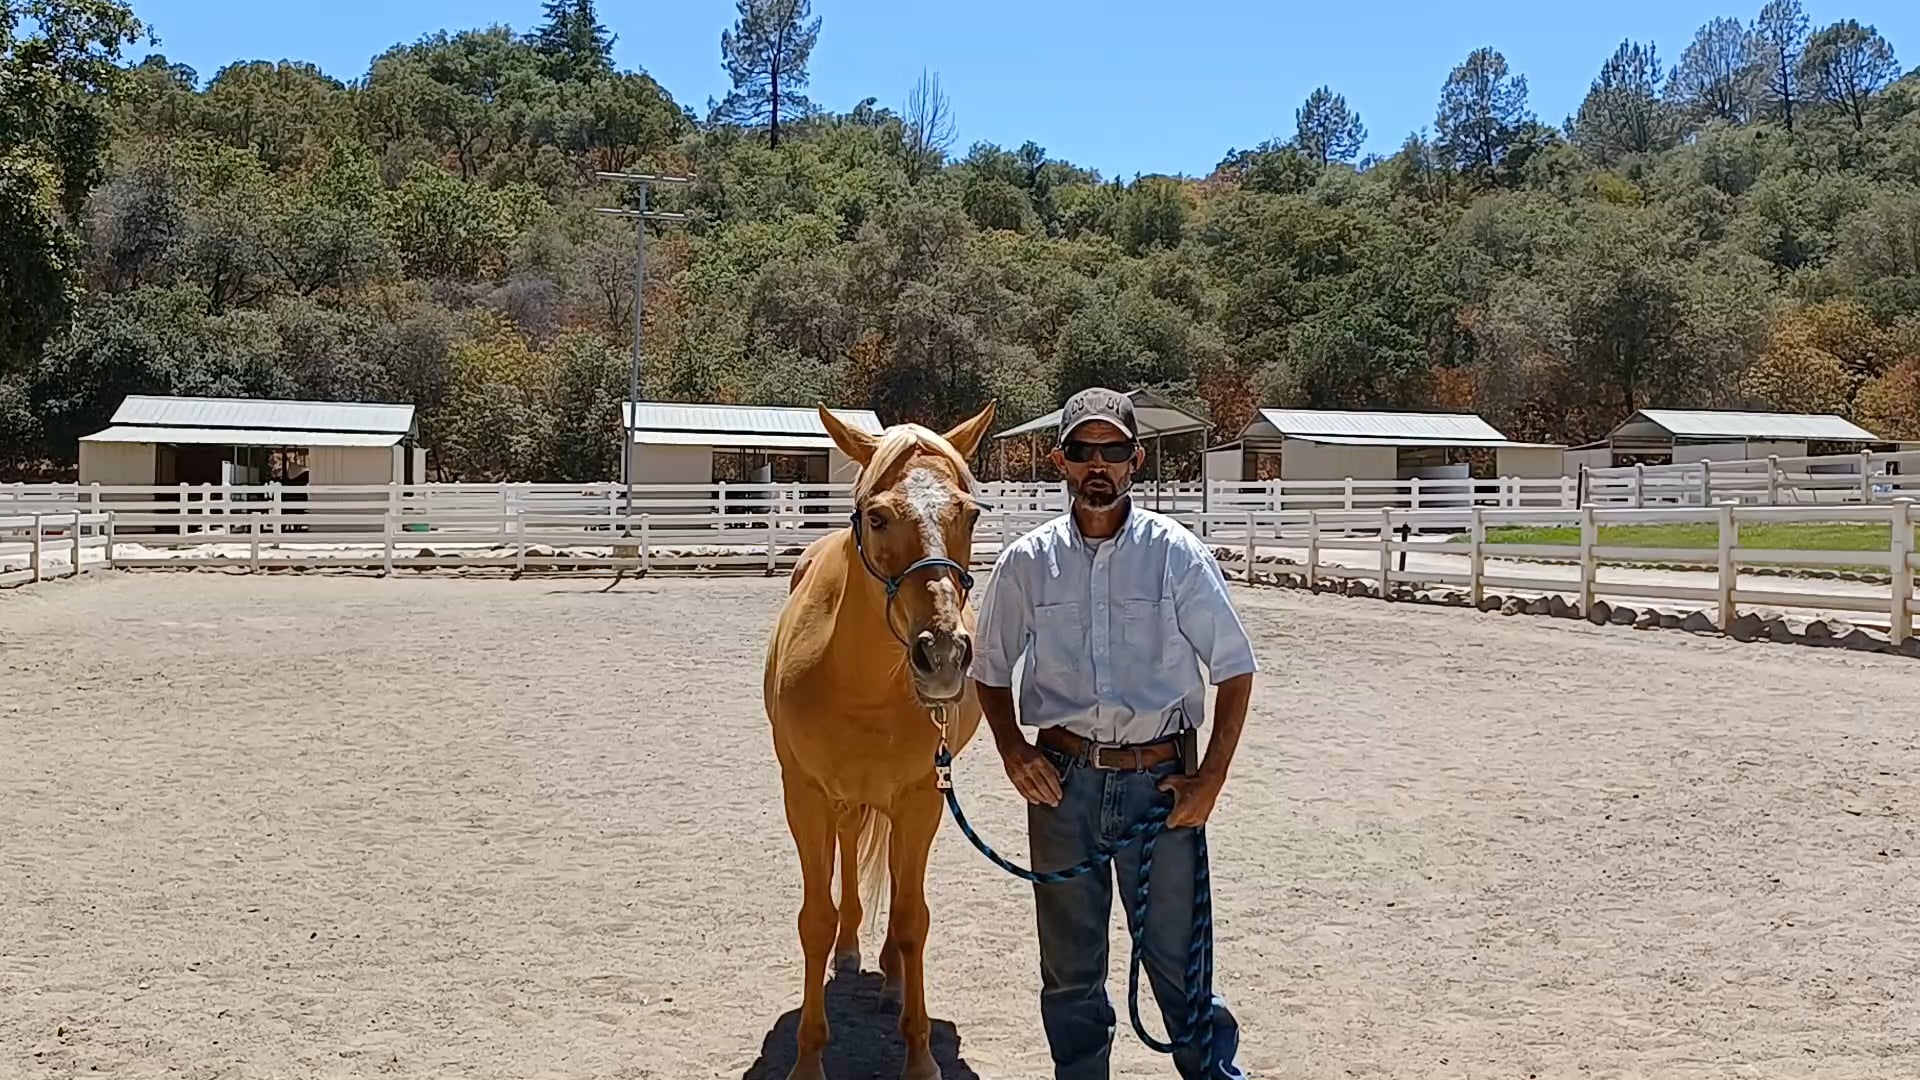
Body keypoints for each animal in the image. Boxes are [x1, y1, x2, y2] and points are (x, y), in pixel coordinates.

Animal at [762, 401, 997, 1080]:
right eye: (877, 515)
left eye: (971, 513)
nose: (942, 655)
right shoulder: (806, 795)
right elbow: (814, 920)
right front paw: (808, 1058)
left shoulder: (920, 796)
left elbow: (915, 918)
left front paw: (918, 1055)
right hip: (846, 800)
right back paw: (852, 952)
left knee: (897, 874)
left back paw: (892, 976)